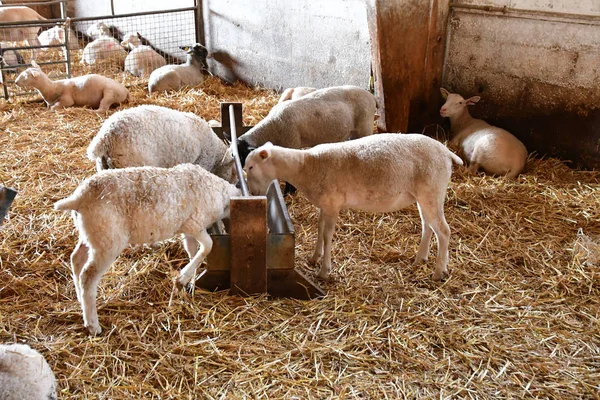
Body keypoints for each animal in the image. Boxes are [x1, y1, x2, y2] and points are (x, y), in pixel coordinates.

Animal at [54, 162, 241, 334]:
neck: (220, 192)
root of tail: (80, 197)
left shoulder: (187, 228)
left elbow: (192, 250)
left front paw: (189, 281)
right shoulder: (195, 224)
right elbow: (208, 245)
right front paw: (183, 277)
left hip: (92, 234)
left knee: (76, 259)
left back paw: (79, 297)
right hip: (108, 240)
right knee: (88, 276)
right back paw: (92, 324)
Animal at [87, 104, 237, 183]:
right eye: (233, 171)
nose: (236, 183)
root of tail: (107, 136)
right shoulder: (202, 162)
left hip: (103, 166)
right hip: (131, 164)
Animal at [244, 134, 464, 282]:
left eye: (251, 167)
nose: (253, 193)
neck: (306, 166)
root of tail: (446, 153)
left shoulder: (333, 204)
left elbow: (327, 235)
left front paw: (324, 270)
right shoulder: (326, 205)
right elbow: (319, 229)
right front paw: (315, 258)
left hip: (433, 190)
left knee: (443, 231)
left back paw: (439, 272)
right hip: (424, 196)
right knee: (428, 226)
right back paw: (420, 259)